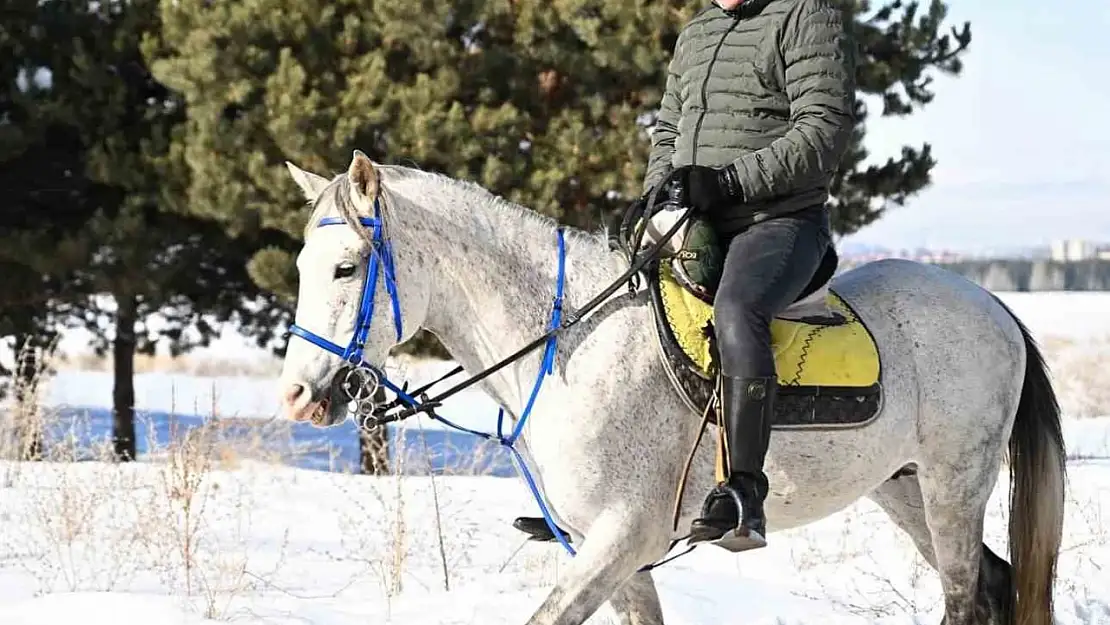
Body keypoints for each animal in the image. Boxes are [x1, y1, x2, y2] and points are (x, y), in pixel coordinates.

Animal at [277, 152, 1065, 625]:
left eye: (346, 267)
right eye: (302, 265)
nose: (296, 396)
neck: (570, 350)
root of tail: (996, 308)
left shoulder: (623, 536)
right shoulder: (610, 551)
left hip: (953, 486)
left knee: (966, 595)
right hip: (904, 489)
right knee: (992, 582)